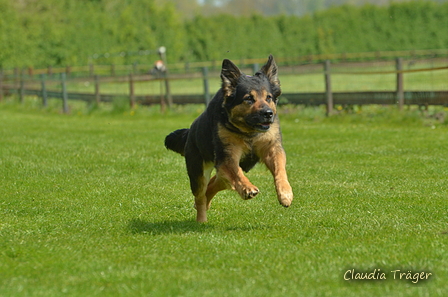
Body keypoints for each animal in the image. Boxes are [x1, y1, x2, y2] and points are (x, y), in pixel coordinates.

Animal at [165, 55, 294, 222]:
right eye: (249, 98)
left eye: (269, 97)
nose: (268, 113)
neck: (248, 131)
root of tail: (189, 133)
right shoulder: (227, 155)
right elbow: (236, 172)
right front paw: (247, 188)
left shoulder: (272, 148)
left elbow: (280, 170)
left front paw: (285, 193)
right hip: (198, 173)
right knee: (201, 195)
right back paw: (201, 220)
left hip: (219, 173)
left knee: (215, 183)